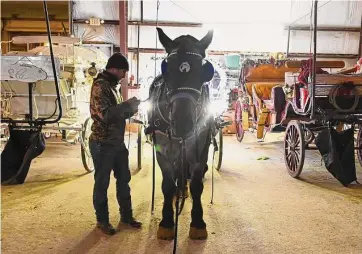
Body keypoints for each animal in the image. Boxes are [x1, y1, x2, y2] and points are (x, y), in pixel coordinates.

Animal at [146, 27, 216, 240]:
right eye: (166, 70)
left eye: (203, 72)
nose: (183, 124)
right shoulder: (162, 150)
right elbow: (167, 184)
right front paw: (167, 222)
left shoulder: (200, 150)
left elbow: (197, 185)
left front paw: (198, 223)